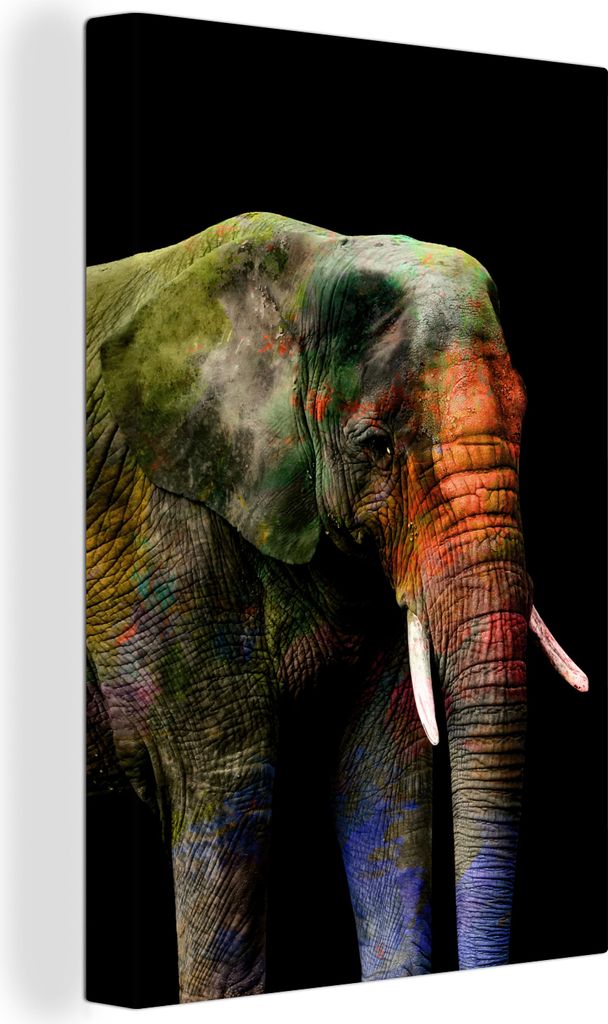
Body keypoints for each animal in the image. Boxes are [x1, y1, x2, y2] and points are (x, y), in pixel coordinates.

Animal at [86, 211, 587, 1003]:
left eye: (525, 421)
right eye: (375, 446)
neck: (308, 272)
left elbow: (384, 783)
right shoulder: (158, 534)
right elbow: (225, 784)